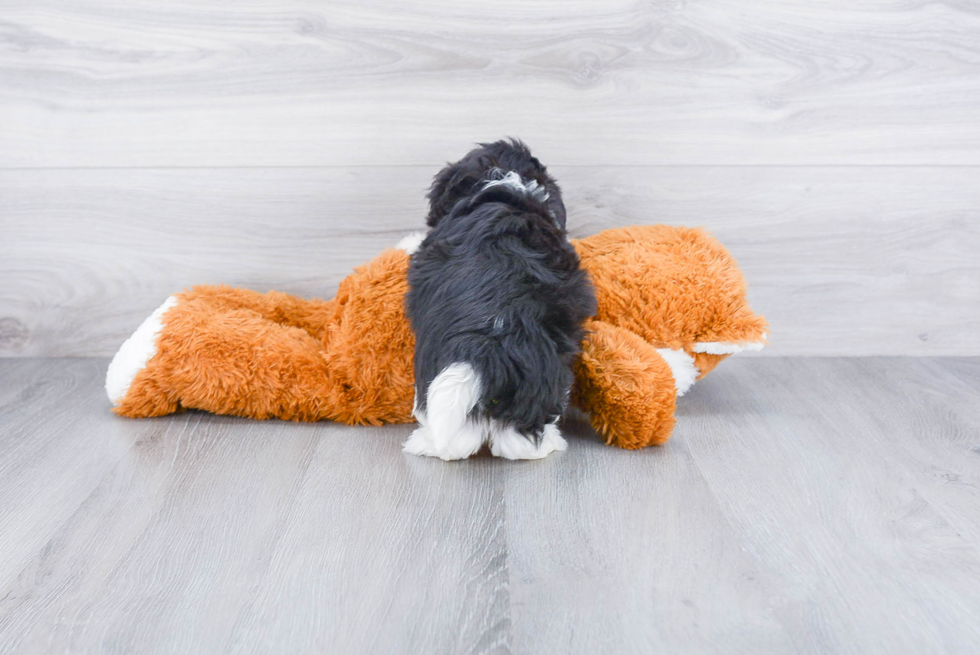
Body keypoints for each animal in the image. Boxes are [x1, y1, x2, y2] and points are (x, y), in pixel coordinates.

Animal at [400, 137, 596, 462]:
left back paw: (425, 443)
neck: (503, 181)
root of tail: (489, 343)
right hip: (544, 373)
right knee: (522, 435)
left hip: (434, 369)